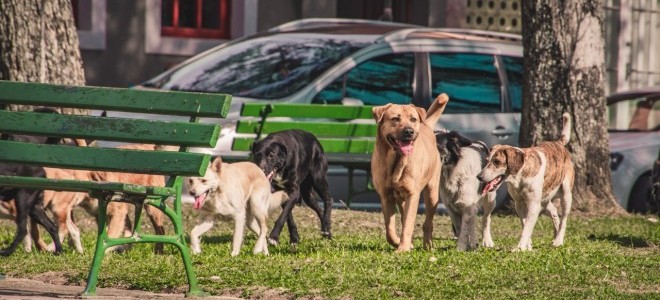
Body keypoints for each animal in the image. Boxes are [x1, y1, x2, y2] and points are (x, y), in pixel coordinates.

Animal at [372, 94, 448, 253]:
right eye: (395, 119)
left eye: (413, 119)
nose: (409, 131)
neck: (396, 161)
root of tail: (426, 126)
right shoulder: (386, 196)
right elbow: (389, 229)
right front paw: (399, 243)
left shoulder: (413, 195)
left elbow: (408, 224)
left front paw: (403, 248)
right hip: (401, 199)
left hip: (432, 194)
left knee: (428, 223)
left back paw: (428, 245)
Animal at [476, 112, 576, 251]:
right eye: (487, 161)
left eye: (497, 162)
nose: (479, 177)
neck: (519, 178)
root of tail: (558, 143)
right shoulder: (519, 204)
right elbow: (525, 224)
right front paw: (527, 245)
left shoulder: (533, 205)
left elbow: (527, 227)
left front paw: (519, 248)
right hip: (544, 199)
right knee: (554, 211)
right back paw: (555, 235)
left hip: (566, 194)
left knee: (564, 219)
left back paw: (558, 240)